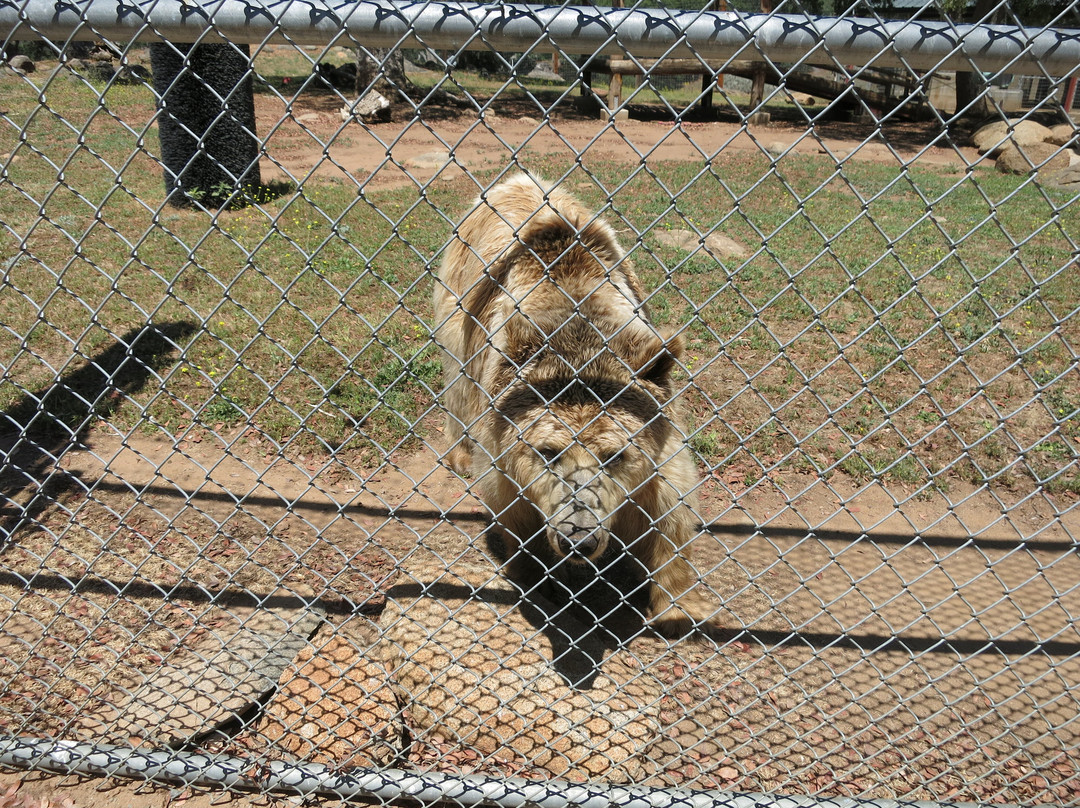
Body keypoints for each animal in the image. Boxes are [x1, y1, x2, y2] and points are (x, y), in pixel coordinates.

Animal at [432, 173, 716, 638]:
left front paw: (678, 609)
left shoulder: (655, 434)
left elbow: (670, 513)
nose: (579, 539)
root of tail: (517, 179)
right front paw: (539, 582)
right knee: (456, 378)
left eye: (615, 455)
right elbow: (515, 515)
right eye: (548, 452)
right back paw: (457, 451)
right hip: (460, 305)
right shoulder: (503, 438)